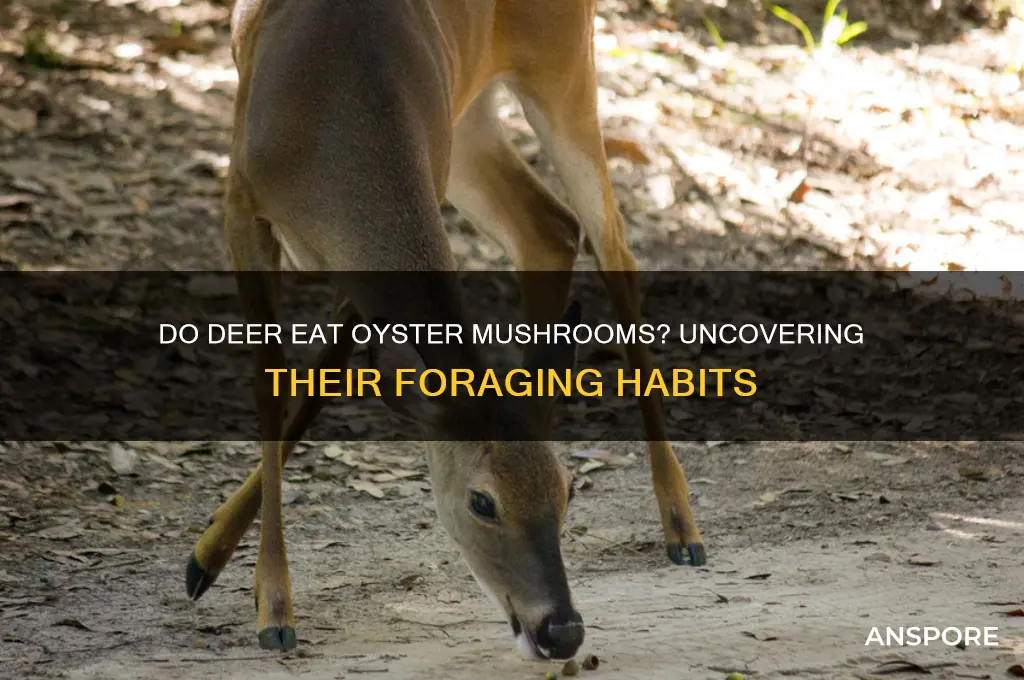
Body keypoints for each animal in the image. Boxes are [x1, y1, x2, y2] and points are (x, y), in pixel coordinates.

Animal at [184, 0, 706, 661]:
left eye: (568, 490)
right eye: (482, 501)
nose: (561, 630)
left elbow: (321, 378)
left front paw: (231, 573)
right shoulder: (242, 202)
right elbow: (279, 383)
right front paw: (262, 599)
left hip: (561, 68)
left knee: (610, 244)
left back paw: (682, 527)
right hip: (475, 117)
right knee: (552, 226)